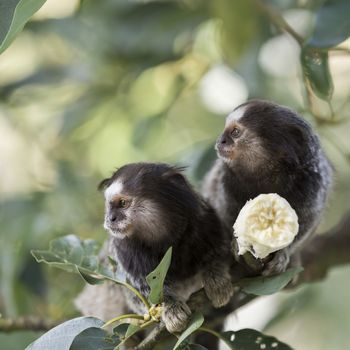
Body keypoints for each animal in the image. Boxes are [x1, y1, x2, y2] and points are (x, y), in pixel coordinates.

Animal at [98, 163, 234, 332]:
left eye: (122, 203)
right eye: (109, 206)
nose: (110, 218)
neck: (165, 238)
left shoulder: (205, 220)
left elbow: (217, 254)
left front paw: (216, 281)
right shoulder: (124, 252)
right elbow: (143, 289)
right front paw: (171, 308)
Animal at [201, 100, 332, 274]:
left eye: (235, 132)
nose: (220, 140)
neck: (271, 174)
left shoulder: (313, 186)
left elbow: (307, 221)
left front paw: (283, 253)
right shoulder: (225, 182)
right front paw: (236, 244)